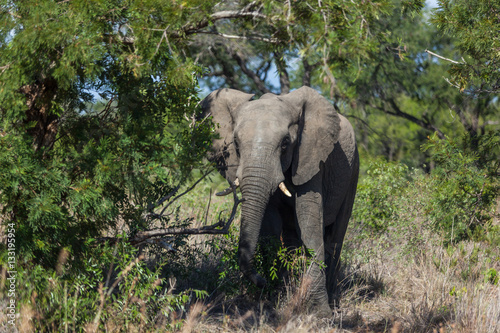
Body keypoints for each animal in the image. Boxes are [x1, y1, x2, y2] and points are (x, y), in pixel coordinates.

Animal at [200, 85, 360, 314]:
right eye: (236, 144)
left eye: (285, 144)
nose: (261, 280)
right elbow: (270, 225)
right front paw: (272, 300)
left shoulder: (311, 159)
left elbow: (309, 222)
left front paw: (321, 312)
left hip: (353, 169)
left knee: (336, 235)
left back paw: (333, 297)